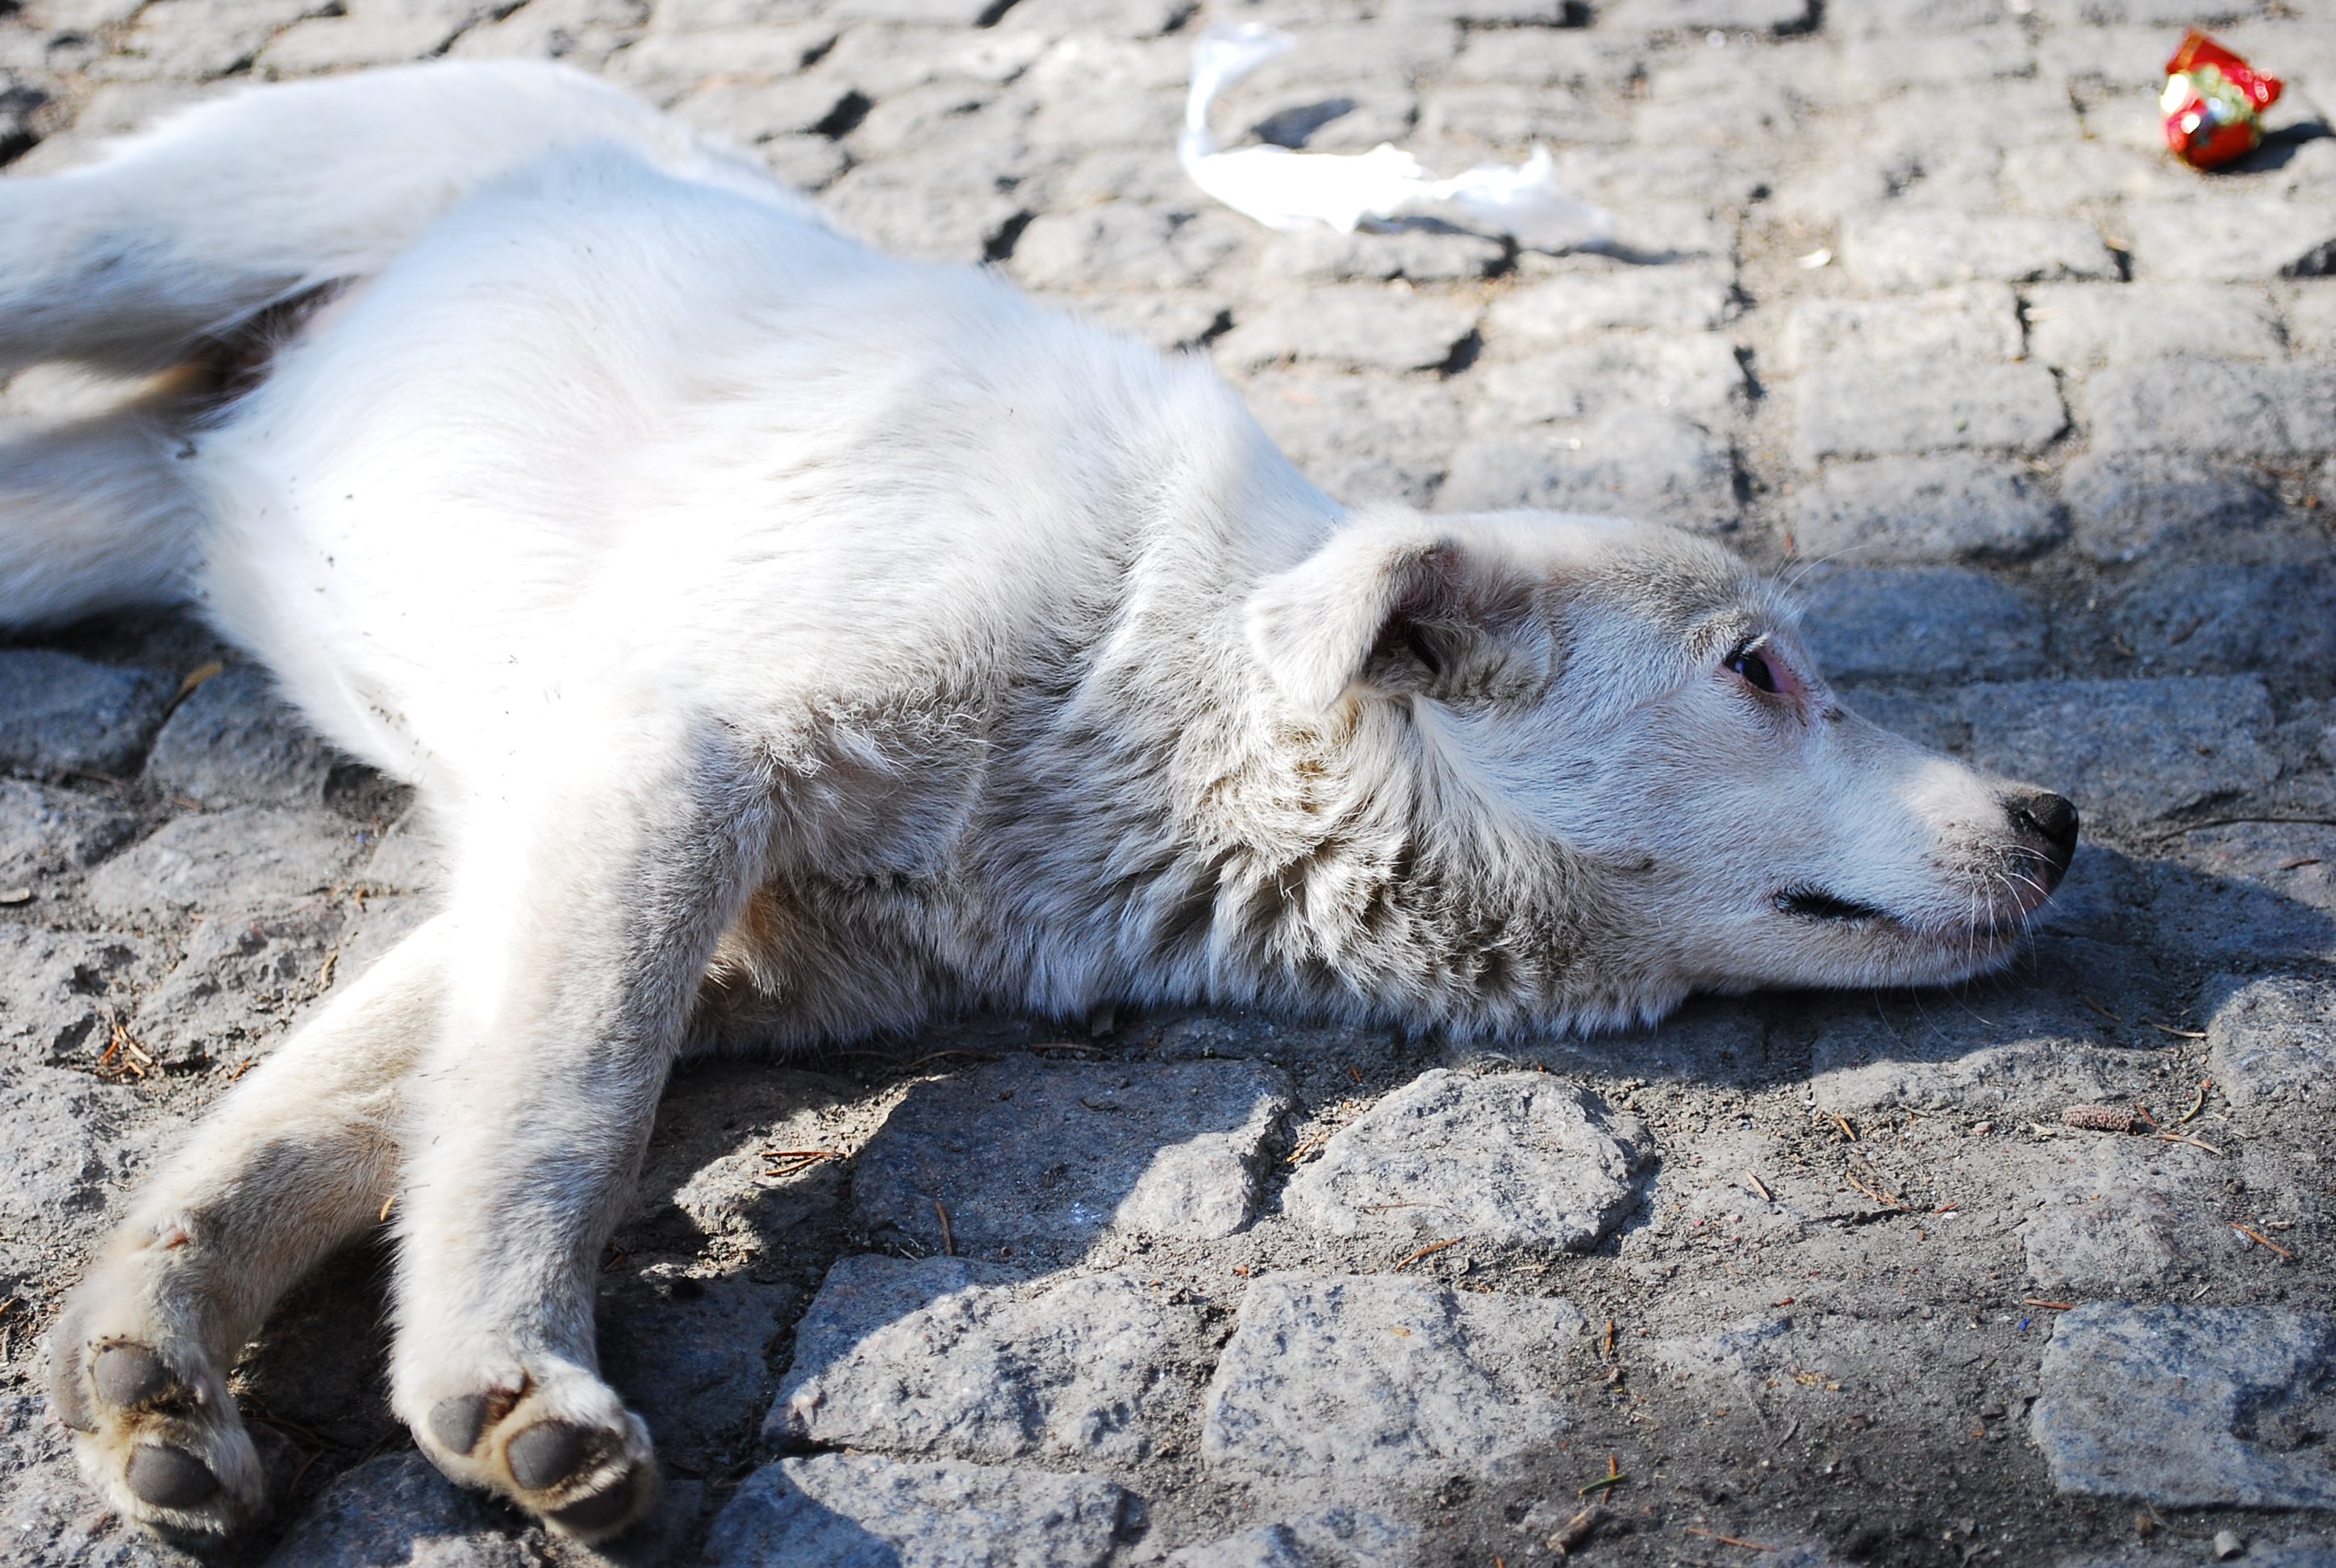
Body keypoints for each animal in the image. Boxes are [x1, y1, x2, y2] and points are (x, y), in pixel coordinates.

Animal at [0, 61, 2078, 1542]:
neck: (1147, 700)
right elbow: (559, 1105)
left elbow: (321, 1123)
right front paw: (510, 1377)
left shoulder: (683, 915)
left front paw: (145, 1360)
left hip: (103, 516)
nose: (2060, 818)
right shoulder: (661, 777)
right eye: (1757, 672)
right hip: (129, 252)